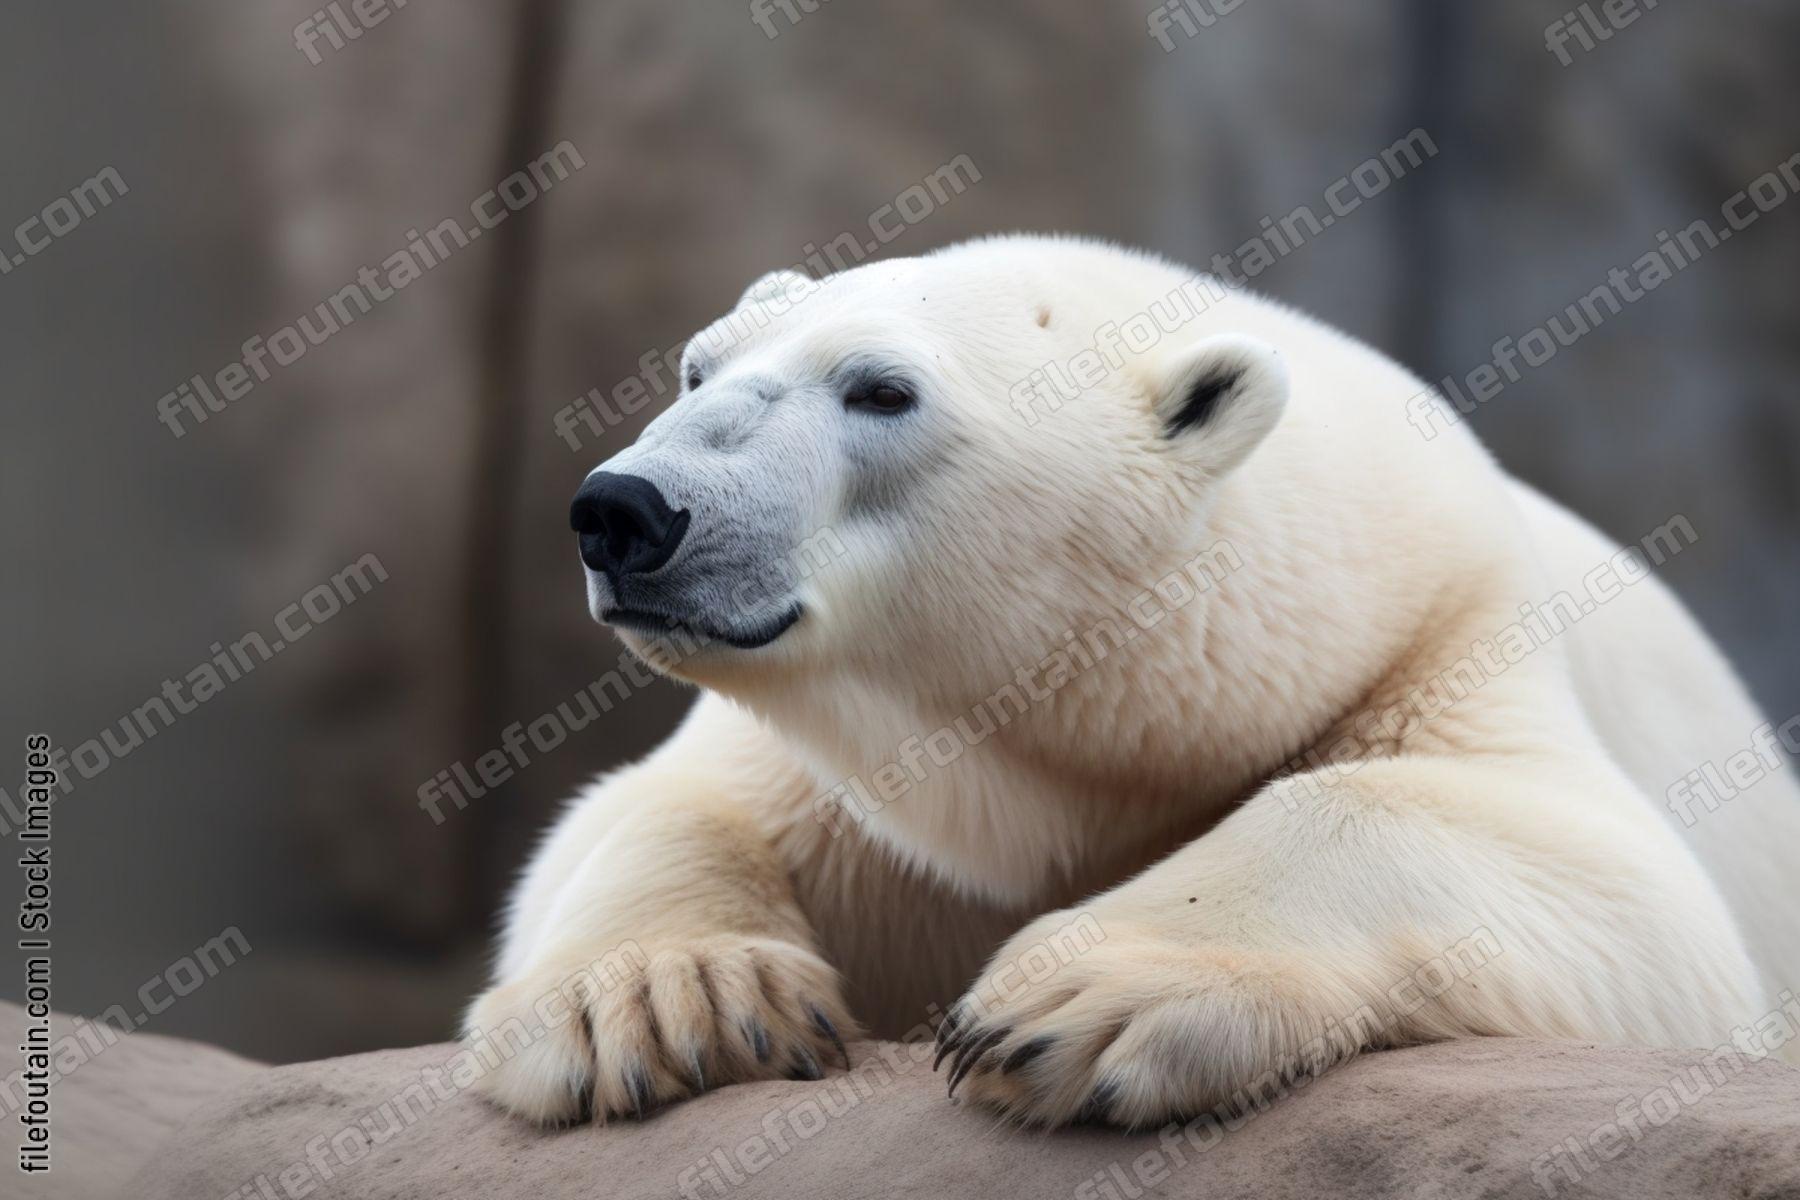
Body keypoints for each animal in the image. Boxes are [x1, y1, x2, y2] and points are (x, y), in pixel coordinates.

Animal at [463, 234, 1800, 1130]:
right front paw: (666, 999)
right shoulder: (852, 795)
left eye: (882, 390)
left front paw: (1074, 996)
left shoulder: (1447, 644)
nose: (625, 511)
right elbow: (644, 810)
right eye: (697, 368)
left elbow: (1625, 891)